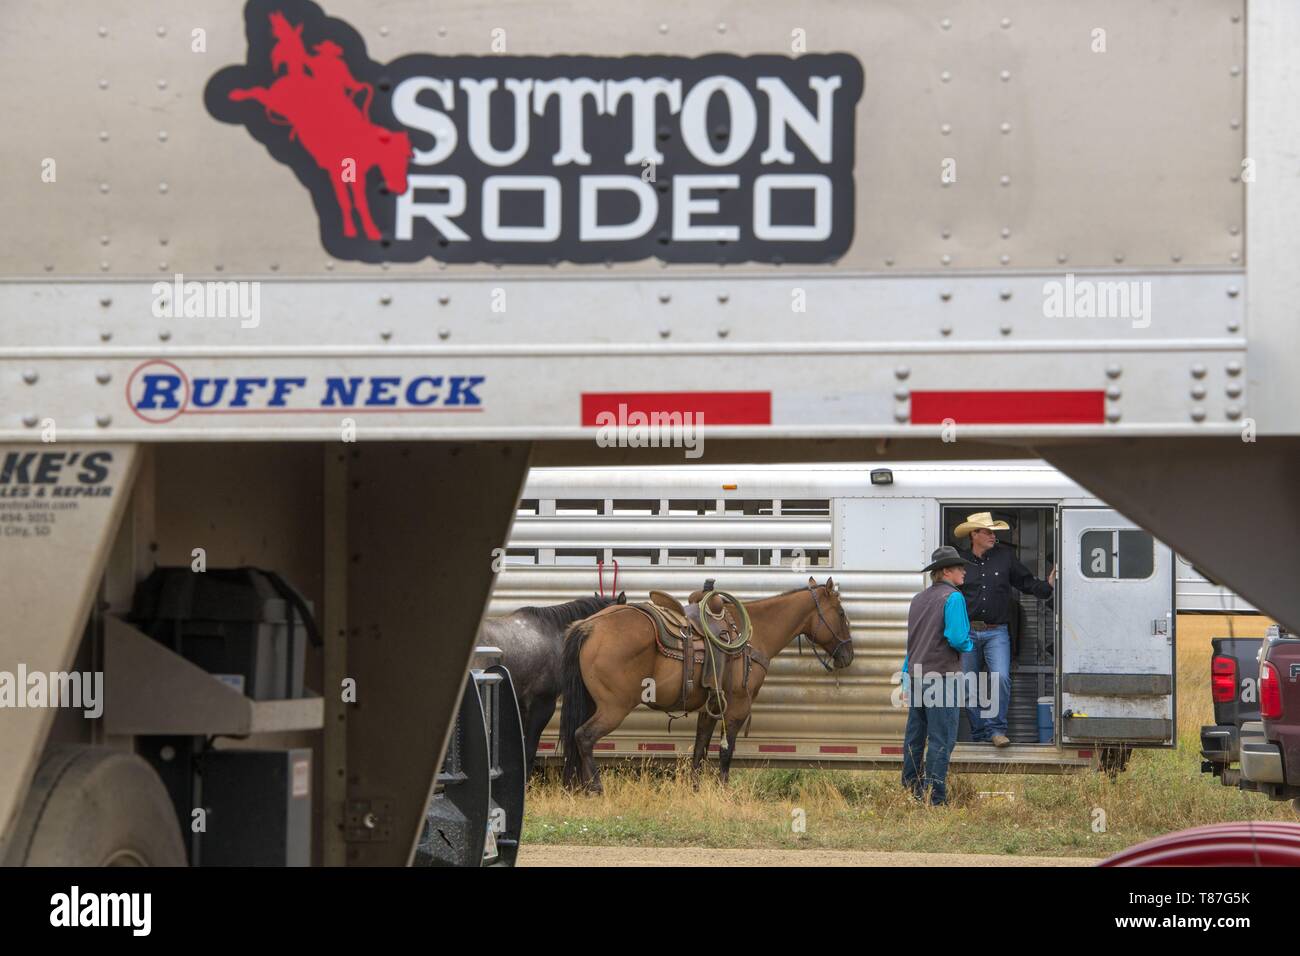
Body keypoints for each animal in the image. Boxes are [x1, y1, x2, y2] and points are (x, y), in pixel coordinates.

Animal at [559, 574, 852, 790]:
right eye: (840, 613)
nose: (847, 655)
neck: (754, 634)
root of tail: (589, 627)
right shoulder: (737, 707)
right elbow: (725, 751)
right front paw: (723, 790)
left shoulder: (710, 707)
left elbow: (700, 749)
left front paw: (695, 788)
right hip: (614, 707)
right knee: (584, 737)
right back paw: (595, 788)